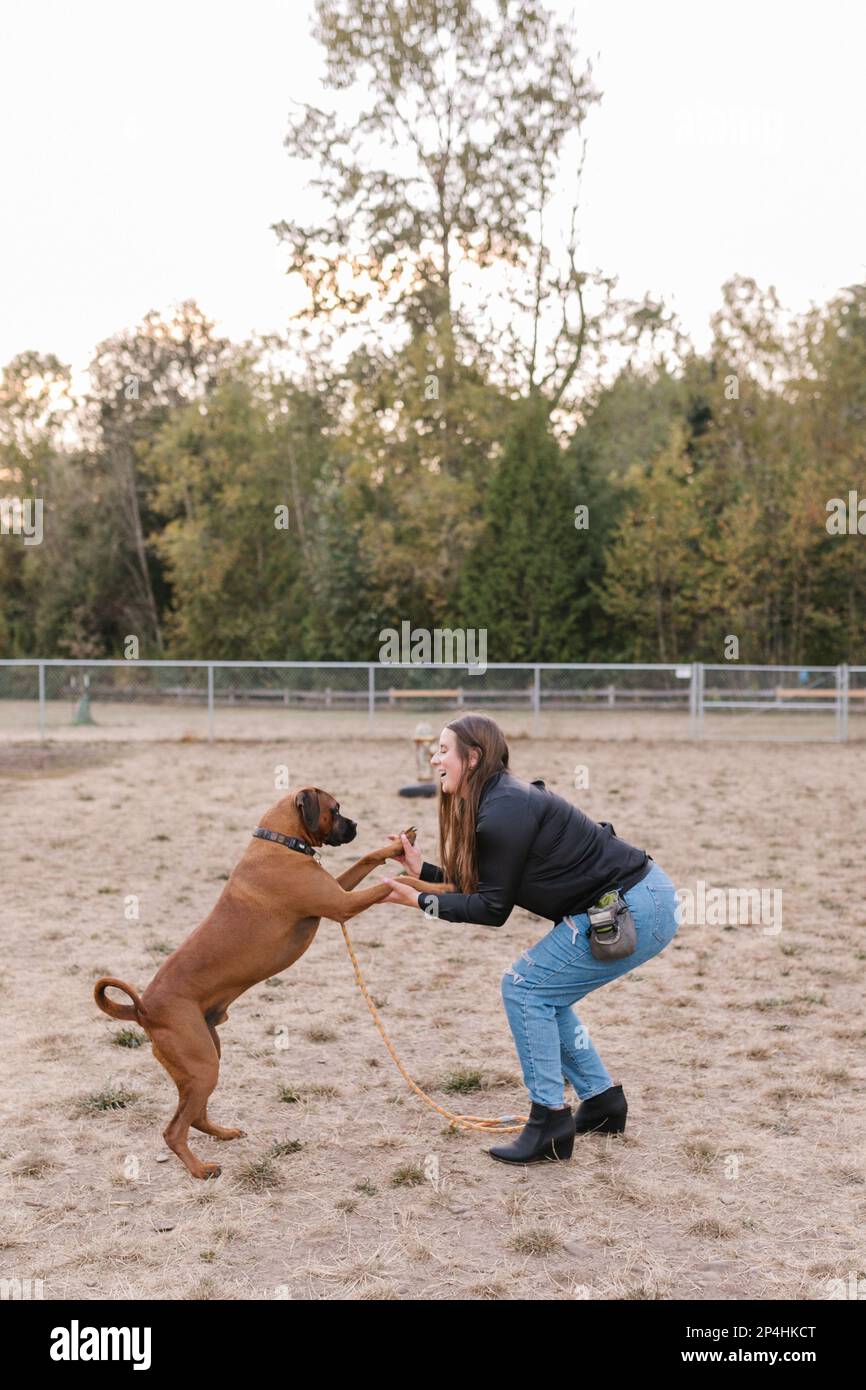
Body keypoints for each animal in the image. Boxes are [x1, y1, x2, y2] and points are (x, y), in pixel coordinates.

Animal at [94, 789, 408, 1178]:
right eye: (335, 810)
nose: (355, 825)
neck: (280, 842)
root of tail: (142, 1009)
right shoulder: (342, 905)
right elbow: (395, 885)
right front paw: (432, 884)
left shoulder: (339, 891)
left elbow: (367, 859)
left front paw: (397, 847)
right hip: (202, 1066)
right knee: (174, 1130)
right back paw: (200, 1170)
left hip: (206, 1059)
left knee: (194, 1117)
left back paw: (223, 1133)